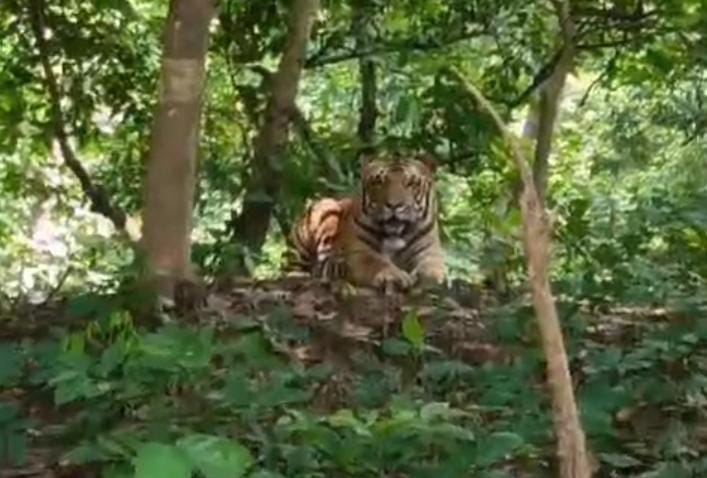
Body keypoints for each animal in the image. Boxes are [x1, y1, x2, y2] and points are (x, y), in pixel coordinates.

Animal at [332, 153, 446, 292]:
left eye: (410, 183)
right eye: (379, 182)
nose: (394, 205)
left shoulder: (429, 249)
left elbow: (433, 268)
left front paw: (431, 278)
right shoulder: (359, 251)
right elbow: (377, 262)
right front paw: (395, 276)